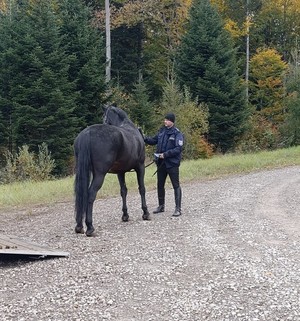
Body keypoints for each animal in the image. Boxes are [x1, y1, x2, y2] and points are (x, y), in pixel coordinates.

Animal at [74, 105, 151, 235]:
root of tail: (87, 133)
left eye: (104, 117)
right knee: (90, 194)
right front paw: (146, 213)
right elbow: (142, 189)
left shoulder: (120, 172)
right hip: (100, 174)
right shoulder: (140, 167)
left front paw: (125, 215)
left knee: (82, 194)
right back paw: (90, 227)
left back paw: (79, 226)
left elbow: (123, 191)